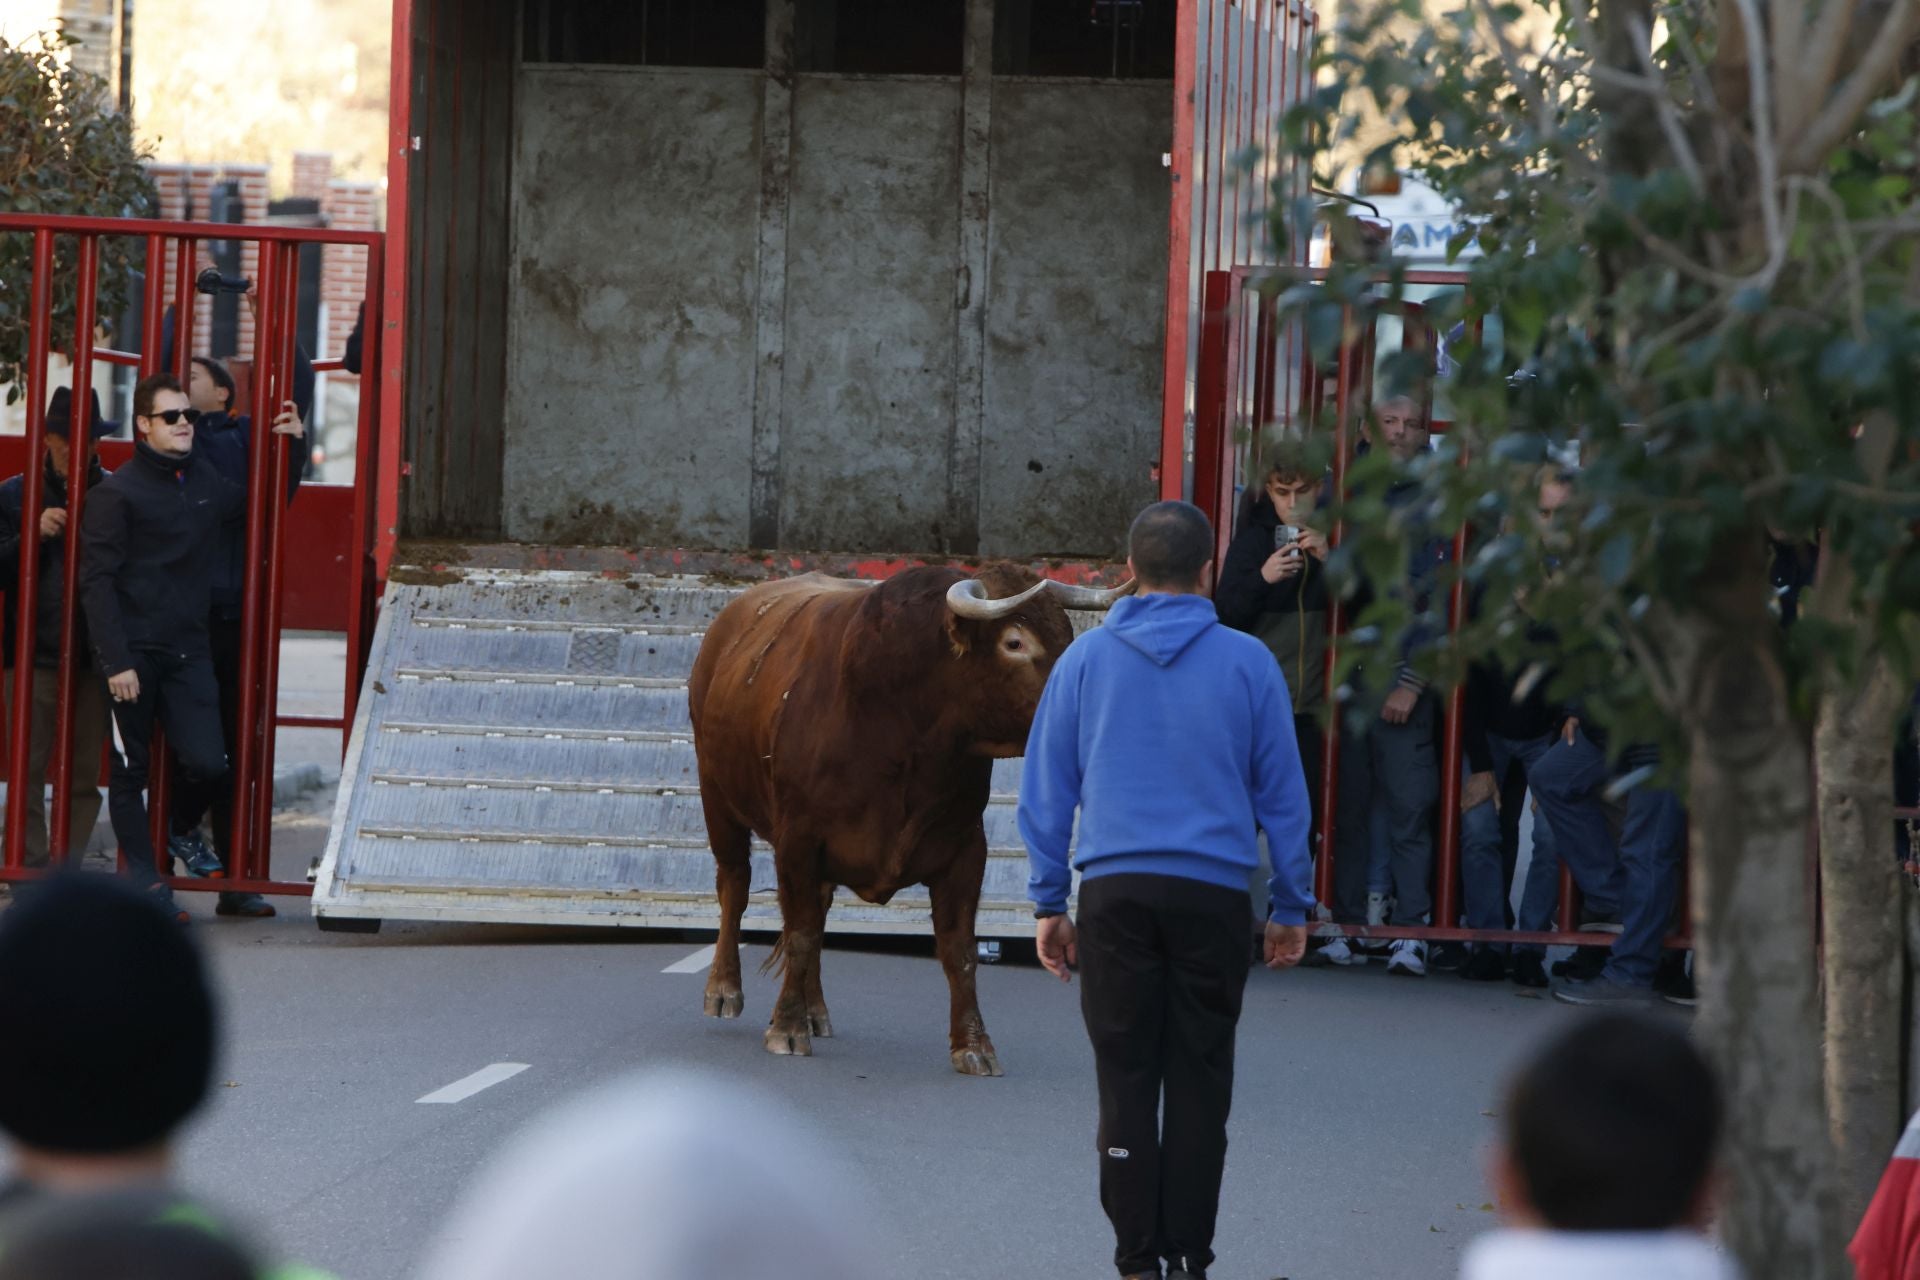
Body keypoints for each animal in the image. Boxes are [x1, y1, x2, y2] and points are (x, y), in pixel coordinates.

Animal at [687, 564, 1121, 1074]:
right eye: (1015, 642)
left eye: (1067, 634)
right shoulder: (797, 840)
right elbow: (799, 934)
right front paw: (787, 1028)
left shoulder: (966, 848)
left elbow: (959, 949)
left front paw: (973, 1044)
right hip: (717, 798)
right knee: (734, 886)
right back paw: (724, 990)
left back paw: (816, 1010)